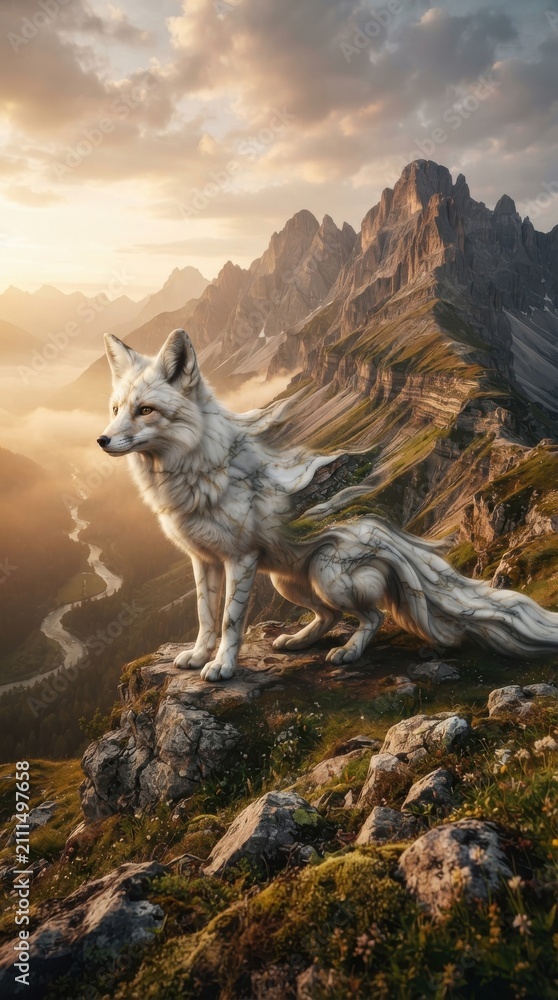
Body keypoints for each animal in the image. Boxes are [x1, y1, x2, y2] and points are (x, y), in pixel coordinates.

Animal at [98, 327, 558, 681]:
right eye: (116, 409)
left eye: (145, 410)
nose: (101, 440)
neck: (195, 471)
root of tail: (382, 533)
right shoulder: (203, 559)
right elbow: (205, 617)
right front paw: (197, 657)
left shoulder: (240, 560)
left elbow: (230, 622)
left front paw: (223, 667)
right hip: (288, 582)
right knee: (330, 617)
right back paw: (296, 641)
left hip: (327, 575)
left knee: (373, 617)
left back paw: (349, 652)